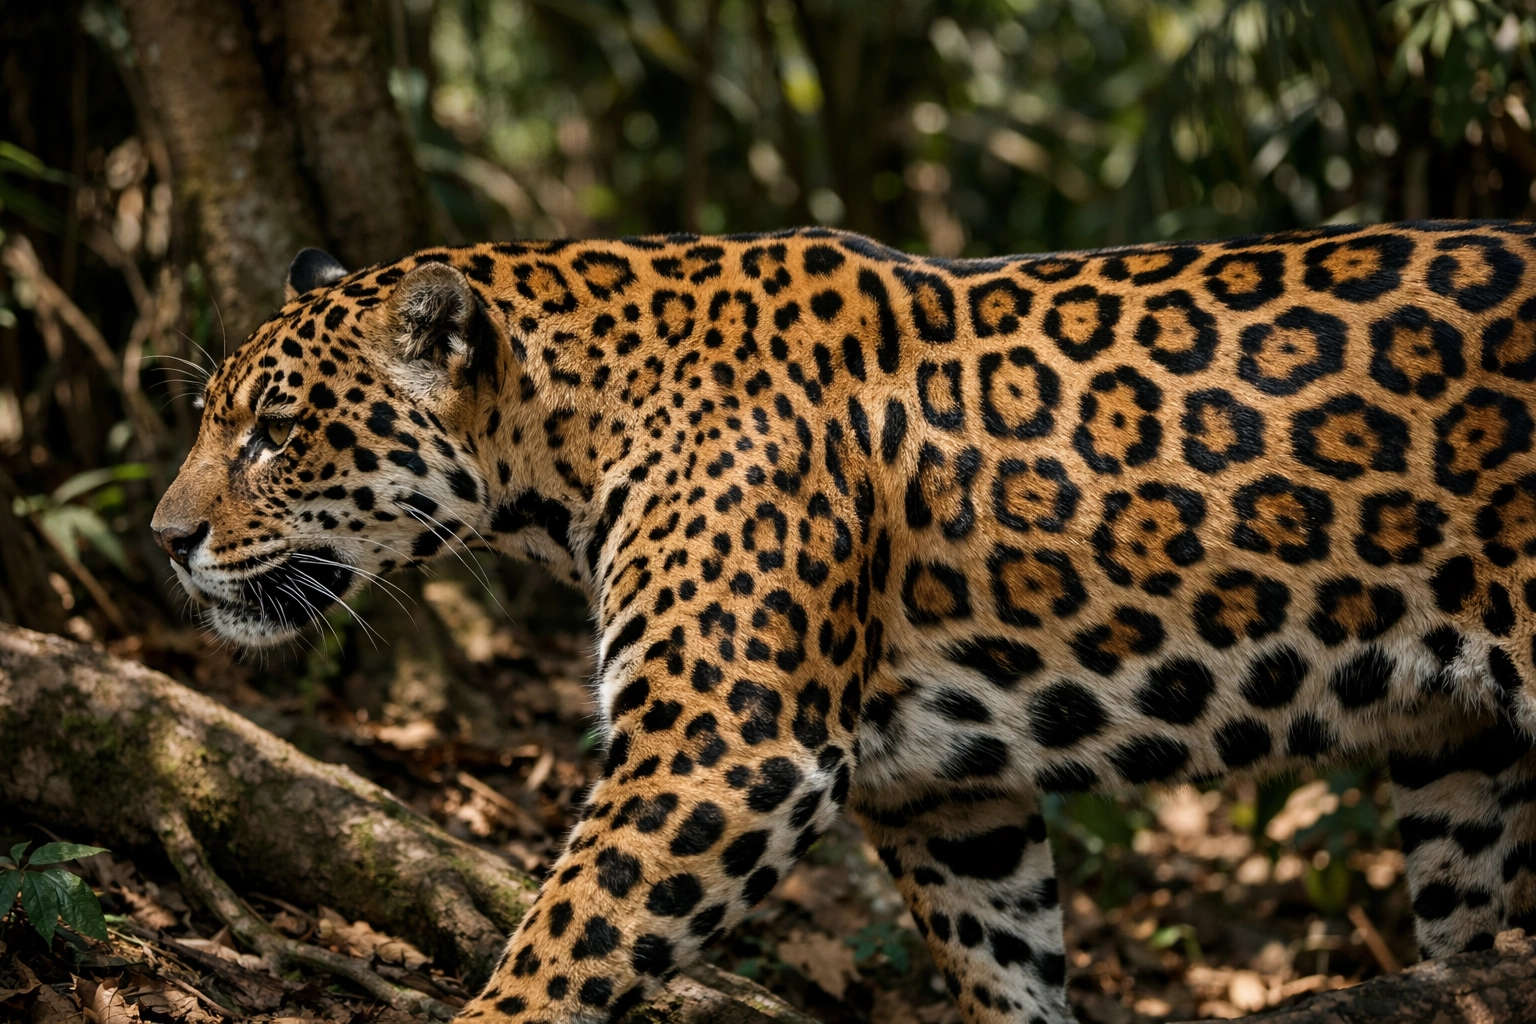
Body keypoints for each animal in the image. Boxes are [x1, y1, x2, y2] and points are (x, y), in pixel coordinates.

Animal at [151, 222, 1536, 1024]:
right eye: (214, 417)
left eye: (274, 431)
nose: (166, 540)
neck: (565, 435)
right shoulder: (948, 794)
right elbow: (1007, 965)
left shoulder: (724, 749)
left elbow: (564, 940)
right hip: (1457, 767)